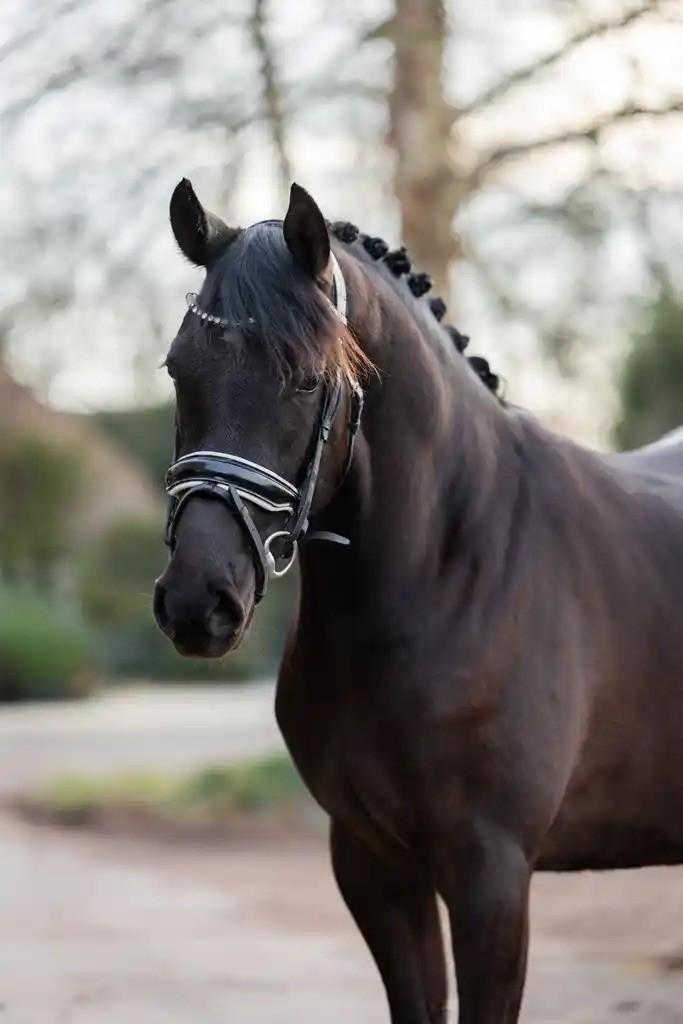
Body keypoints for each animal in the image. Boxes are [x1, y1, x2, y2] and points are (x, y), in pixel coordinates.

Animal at [153, 178, 683, 1023]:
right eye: (179, 370)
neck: (449, 577)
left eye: (306, 378)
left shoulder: (489, 876)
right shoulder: (374, 865)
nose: (197, 603)